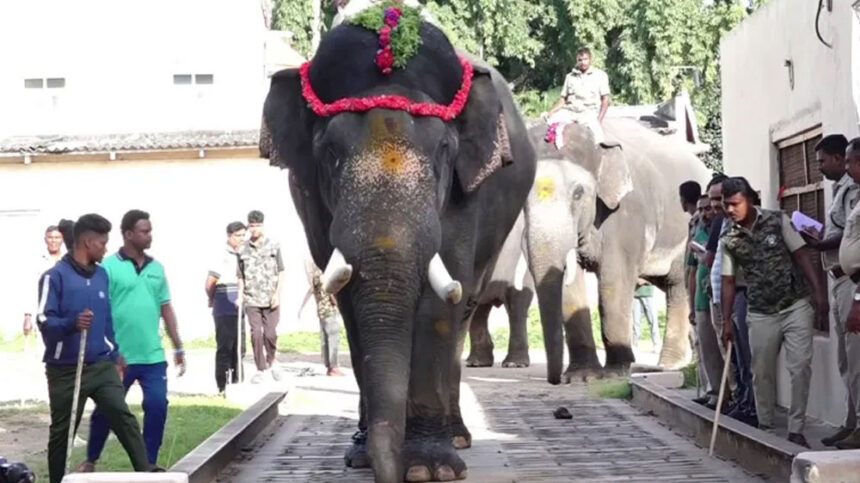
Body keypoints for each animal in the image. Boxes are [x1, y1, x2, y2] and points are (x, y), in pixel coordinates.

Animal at [525, 119, 711, 384]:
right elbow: (570, 287)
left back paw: (670, 365)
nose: (556, 379)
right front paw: (581, 376)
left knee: (679, 286)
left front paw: (614, 373)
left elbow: (614, 282)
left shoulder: (627, 215)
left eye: (578, 193)